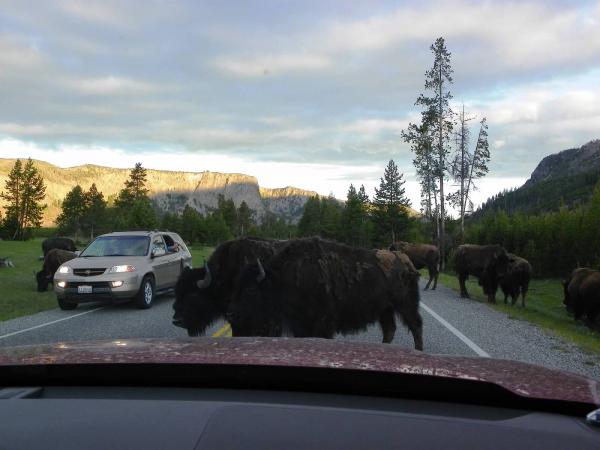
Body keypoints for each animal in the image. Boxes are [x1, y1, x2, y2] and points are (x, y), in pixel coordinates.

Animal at [227, 237, 424, 350]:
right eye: (235, 287)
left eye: (251, 290)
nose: (232, 314)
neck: (281, 277)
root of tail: (408, 263)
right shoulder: (302, 325)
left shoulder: (322, 323)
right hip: (385, 309)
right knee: (390, 329)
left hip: (406, 304)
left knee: (415, 325)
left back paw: (419, 350)